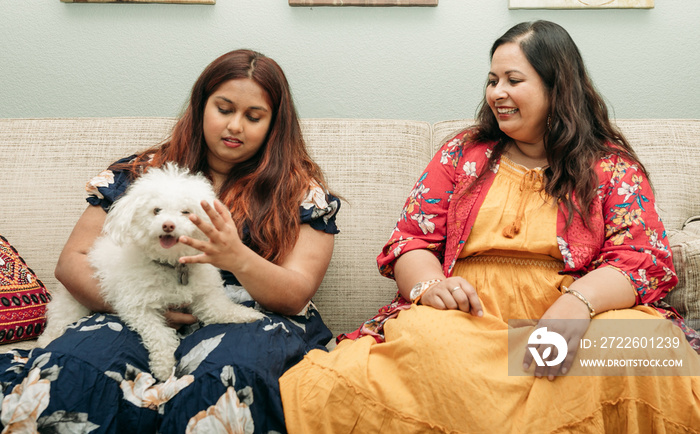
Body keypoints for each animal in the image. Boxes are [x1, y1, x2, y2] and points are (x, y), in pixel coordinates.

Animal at [41, 163, 266, 380]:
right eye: (156, 210)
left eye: (186, 212)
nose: (168, 225)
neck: (172, 265)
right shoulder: (138, 308)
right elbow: (160, 335)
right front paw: (164, 365)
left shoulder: (206, 297)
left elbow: (221, 309)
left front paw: (247, 314)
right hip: (71, 304)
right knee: (56, 324)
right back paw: (45, 341)